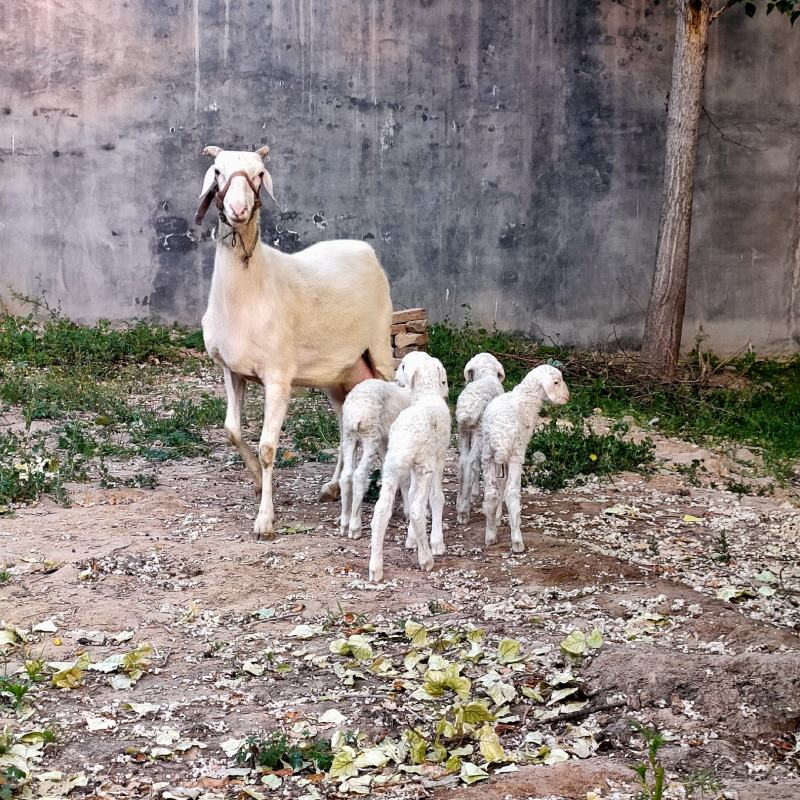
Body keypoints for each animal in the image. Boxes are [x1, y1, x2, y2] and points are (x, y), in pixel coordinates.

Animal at [195, 147, 394, 540]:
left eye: (259, 173)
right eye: (217, 171)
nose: (238, 209)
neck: (250, 286)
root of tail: (364, 248)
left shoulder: (278, 376)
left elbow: (269, 447)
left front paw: (265, 520)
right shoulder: (231, 369)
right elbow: (231, 431)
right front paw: (258, 482)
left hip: (380, 348)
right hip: (341, 372)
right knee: (344, 425)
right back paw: (333, 487)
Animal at [340, 378, 412, 540]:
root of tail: (356, 413)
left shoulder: (386, 444)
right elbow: (404, 478)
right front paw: (407, 511)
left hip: (349, 436)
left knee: (346, 475)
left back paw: (344, 522)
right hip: (370, 435)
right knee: (359, 475)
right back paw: (354, 526)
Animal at [368, 354, 450, 584]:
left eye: (403, 366)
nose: (394, 376)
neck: (426, 394)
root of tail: (406, 439)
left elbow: (411, 493)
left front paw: (411, 540)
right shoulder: (438, 458)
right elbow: (436, 498)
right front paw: (437, 543)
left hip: (391, 468)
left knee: (381, 512)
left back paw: (375, 568)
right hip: (424, 466)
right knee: (416, 510)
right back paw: (426, 559)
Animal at [456, 352, 506, 524]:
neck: (486, 375)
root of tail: (470, 407)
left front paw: (474, 493)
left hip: (463, 431)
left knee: (463, 461)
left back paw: (460, 502)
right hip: (480, 432)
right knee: (470, 462)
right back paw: (464, 511)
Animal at [482, 366, 568, 552]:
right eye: (556, 382)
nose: (567, 397)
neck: (527, 399)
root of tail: (499, 433)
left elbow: (500, 486)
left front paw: (497, 518)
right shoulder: (515, 453)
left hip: (487, 455)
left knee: (491, 493)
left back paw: (490, 535)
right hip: (515, 453)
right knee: (512, 494)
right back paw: (517, 540)